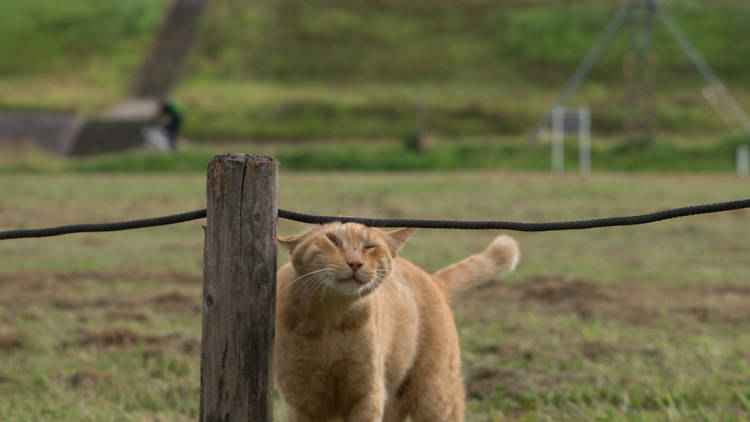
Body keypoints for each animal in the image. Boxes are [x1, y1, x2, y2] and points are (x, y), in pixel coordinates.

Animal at [278, 223, 524, 420]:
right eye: (333, 240)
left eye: (370, 247)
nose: (355, 263)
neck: (329, 319)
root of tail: (433, 279)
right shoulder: (301, 400)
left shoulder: (367, 394)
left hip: (434, 396)